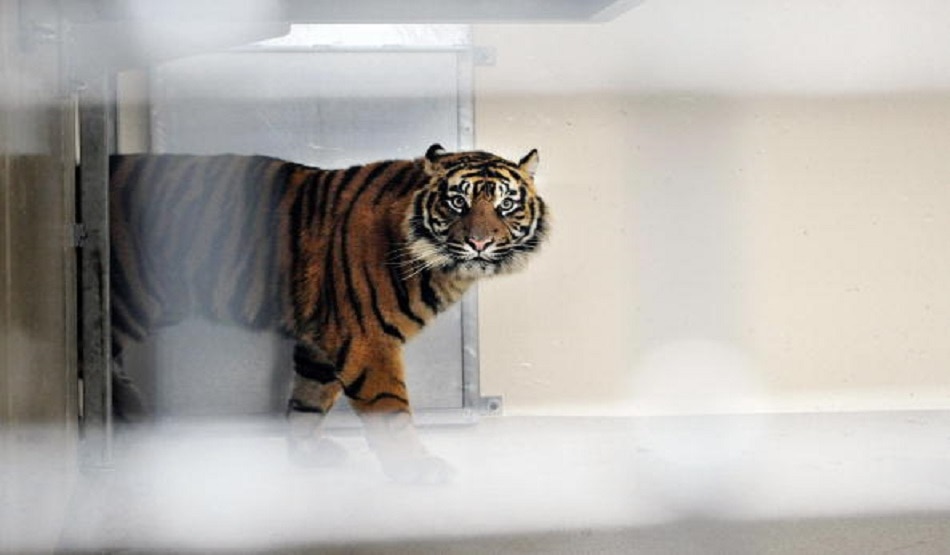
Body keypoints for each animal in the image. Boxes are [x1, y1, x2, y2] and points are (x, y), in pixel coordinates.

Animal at [108, 144, 548, 482]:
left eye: (507, 205)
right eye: (458, 202)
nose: (479, 243)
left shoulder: (322, 340)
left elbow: (310, 399)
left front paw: (306, 455)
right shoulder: (366, 340)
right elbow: (390, 409)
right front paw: (416, 469)